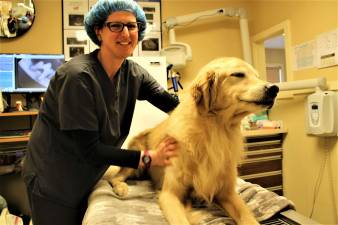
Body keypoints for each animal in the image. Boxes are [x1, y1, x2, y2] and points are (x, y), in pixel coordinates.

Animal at [107, 57, 278, 225]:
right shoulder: (169, 194)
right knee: (114, 177)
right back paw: (121, 188)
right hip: (137, 161)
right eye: (238, 74)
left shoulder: (227, 193)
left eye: (257, 76)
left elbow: (248, 218)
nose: (274, 88)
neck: (216, 130)